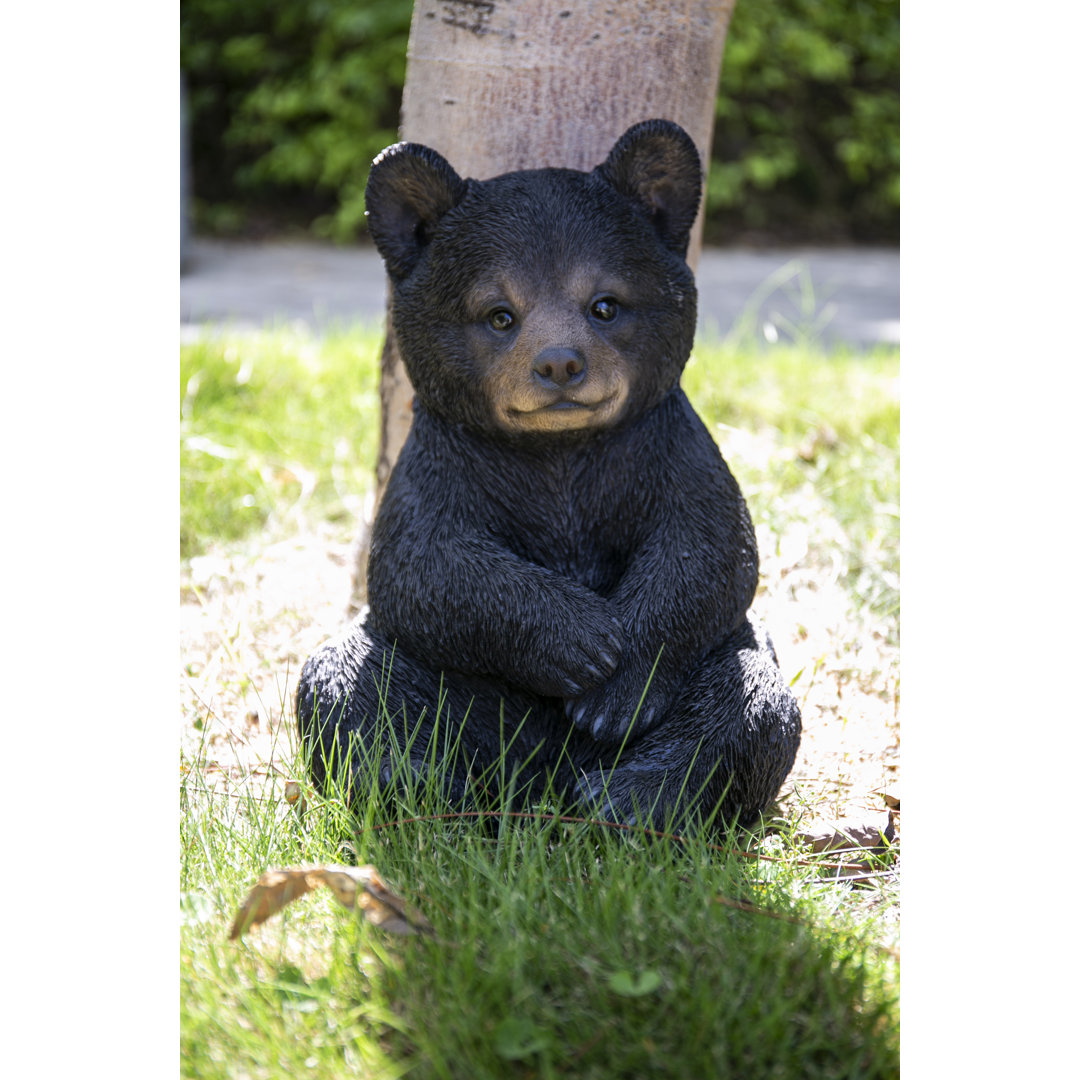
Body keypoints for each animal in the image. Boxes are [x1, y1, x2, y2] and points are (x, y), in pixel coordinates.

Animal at [296, 119, 801, 827]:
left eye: (605, 304)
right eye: (498, 313)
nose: (560, 363)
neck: (558, 450)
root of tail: (540, 775)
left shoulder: (666, 450)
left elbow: (707, 549)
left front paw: (613, 686)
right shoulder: (444, 464)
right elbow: (422, 564)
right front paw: (583, 640)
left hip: (723, 663)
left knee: (748, 706)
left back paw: (627, 797)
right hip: (453, 688)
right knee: (348, 687)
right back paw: (428, 783)